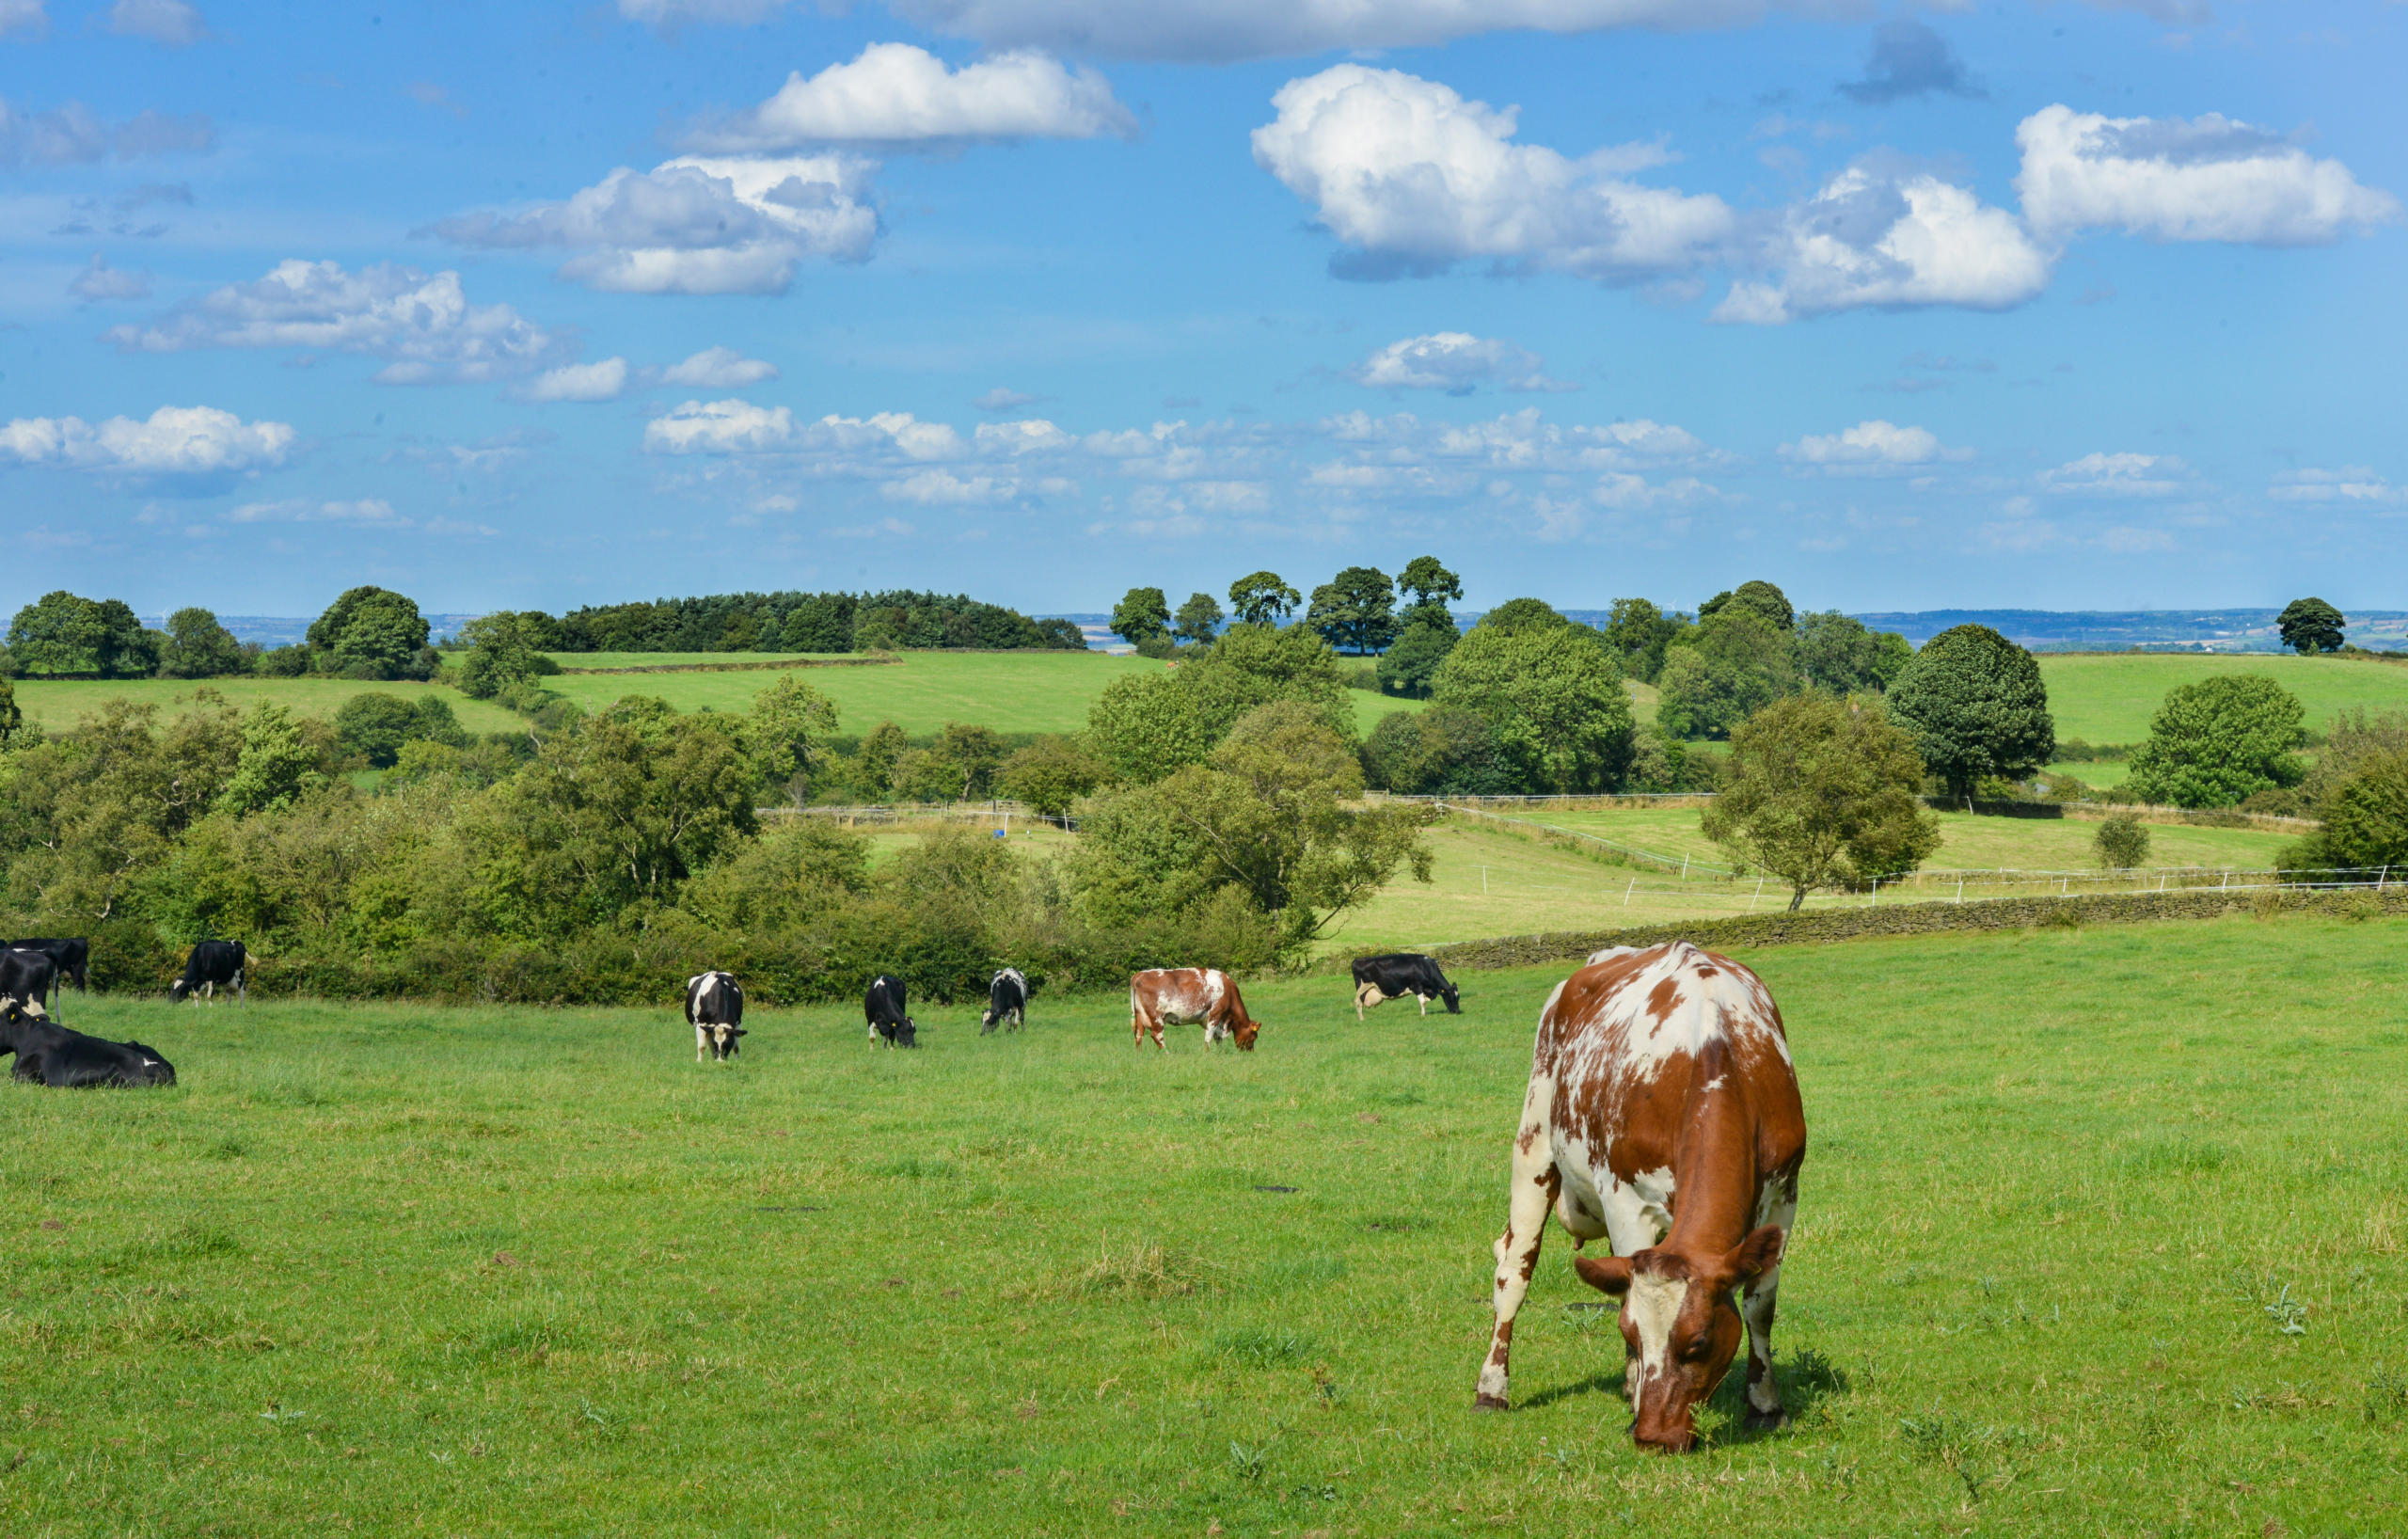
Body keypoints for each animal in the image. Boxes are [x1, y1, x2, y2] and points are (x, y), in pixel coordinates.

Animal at [1127, 968, 1261, 1055]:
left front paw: (1219, 1052)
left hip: (1139, 1015)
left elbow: (1218, 1038)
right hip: (1157, 1016)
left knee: (1139, 1035)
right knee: (1156, 1035)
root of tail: (1139, 975)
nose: (1250, 1053)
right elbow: (1209, 1037)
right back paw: (1168, 1054)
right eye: (1254, 1037)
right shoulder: (1215, 1015)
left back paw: (1139, 1054)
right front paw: (1206, 1053)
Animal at [1464, 939, 1811, 1454]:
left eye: (1699, 1342)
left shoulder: (1784, 1197)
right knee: (1514, 1270)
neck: (1716, 1051)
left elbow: (1760, 1308)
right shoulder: (1625, 1201)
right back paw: (1492, 1388)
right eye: (1630, 1330)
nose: (1653, 1437)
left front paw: (1766, 1406)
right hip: (1534, 1144)